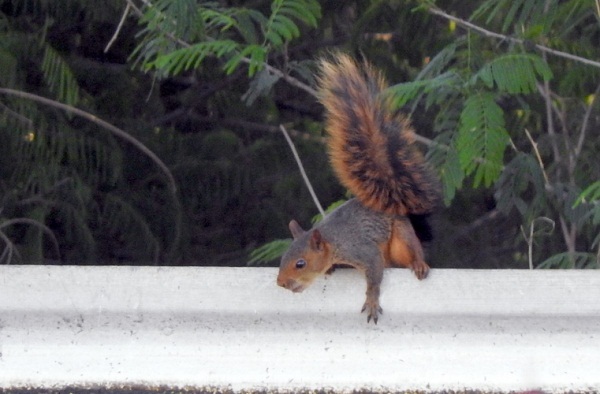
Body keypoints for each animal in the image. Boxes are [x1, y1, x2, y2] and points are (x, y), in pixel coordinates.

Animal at [276, 53, 440, 324]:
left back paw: (418, 264)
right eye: (282, 258)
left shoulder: (362, 249)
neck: (332, 239)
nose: (281, 283)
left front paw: (372, 299)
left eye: (300, 264)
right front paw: (331, 268)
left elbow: (374, 274)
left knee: (411, 250)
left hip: (401, 237)